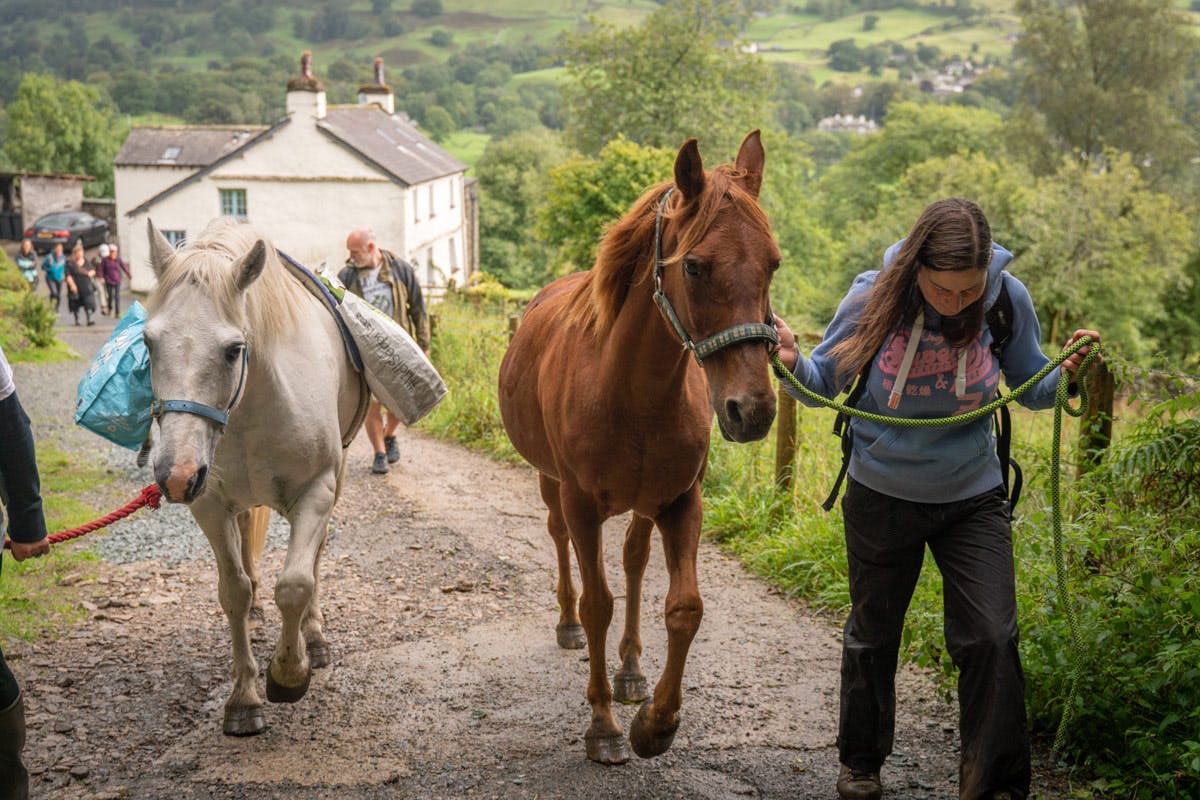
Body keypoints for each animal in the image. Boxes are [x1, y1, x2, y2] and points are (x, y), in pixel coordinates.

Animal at [142, 219, 364, 738]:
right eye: (148, 343)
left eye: (233, 350)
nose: (176, 475)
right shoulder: (209, 505)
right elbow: (234, 592)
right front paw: (244, 697)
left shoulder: (317, 492)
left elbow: (297, 584)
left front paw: (289, 673)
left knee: (314, 562)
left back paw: (314, 639)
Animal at [494, 131, 777, 762]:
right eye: (693, 266)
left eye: (773, 262)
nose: (752, 410)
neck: (632, 391)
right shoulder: (580, 504)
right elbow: (598, 603)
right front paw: (603, 725)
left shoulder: (681, 502)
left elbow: (684, 606)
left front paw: (656, 723)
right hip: (551, 484)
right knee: (560, 541)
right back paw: (567, 625)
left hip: (646, 504)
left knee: (633, 560)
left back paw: (629, 671)